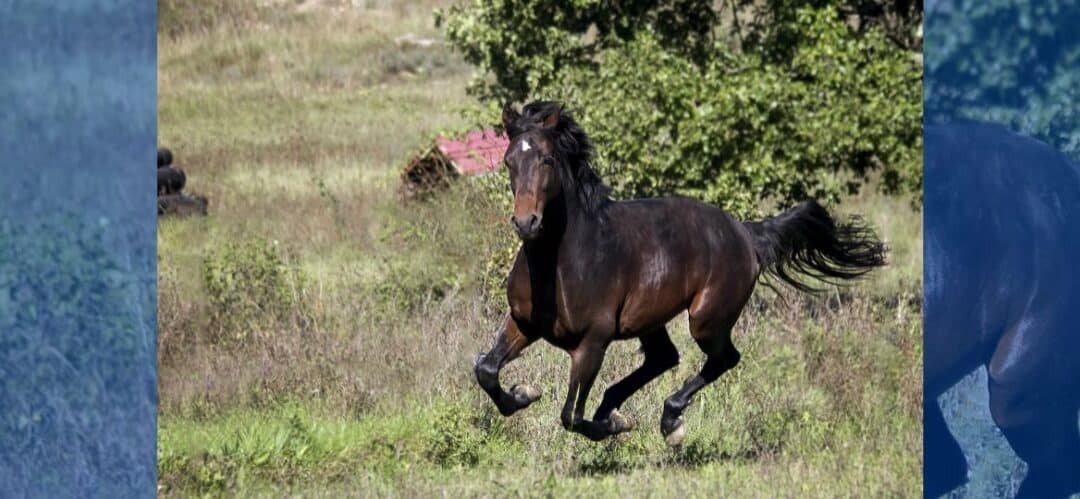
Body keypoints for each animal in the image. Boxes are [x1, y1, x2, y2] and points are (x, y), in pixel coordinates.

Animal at [474, 101, 887, 444]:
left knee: (722, 359)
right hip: (651, 319)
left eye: (546, 159)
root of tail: (746, 233)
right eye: (508, 161)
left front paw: (612, 426)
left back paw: (669, 422)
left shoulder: (592, 341)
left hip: (706, 319)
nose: (526, 223)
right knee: (664, 358)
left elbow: (570, 416)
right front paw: (522, 394)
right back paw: (618, 408)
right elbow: (487, 370)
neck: (563, 262)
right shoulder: (523, 323)